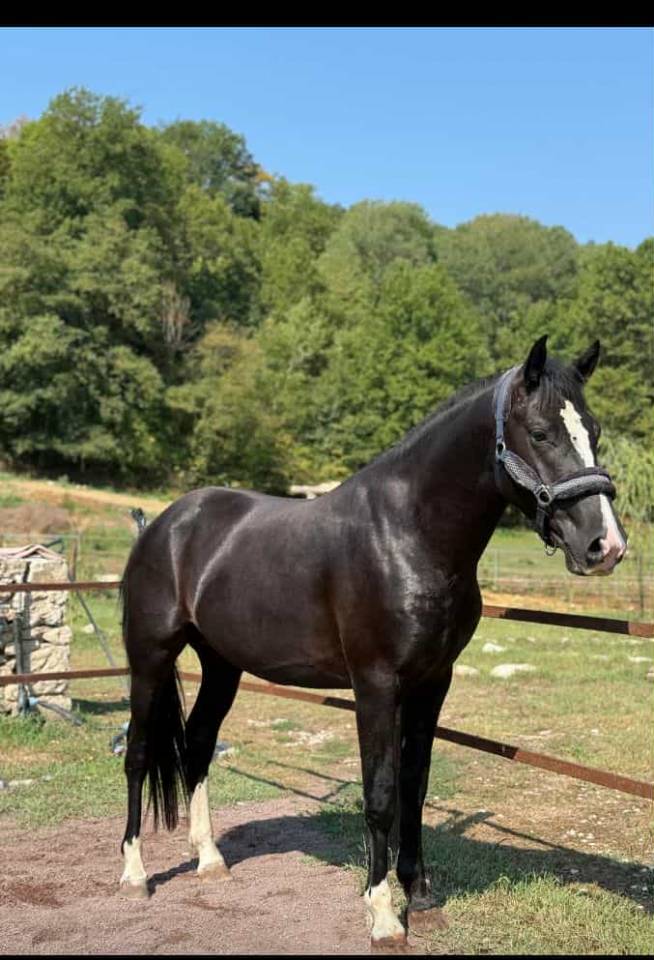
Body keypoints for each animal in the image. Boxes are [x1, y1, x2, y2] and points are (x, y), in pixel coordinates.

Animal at [118, 335, 626, 949]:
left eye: (593, 431)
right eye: (542, 432)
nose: (605, 545)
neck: (407, 534)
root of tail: (163, 523)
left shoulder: (432, 683)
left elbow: (415, 783)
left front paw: (422, 896)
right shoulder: (376, 686)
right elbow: (381, 793)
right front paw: (384, 914)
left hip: (221, 665)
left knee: (195, 745)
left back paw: (210, 860)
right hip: (149, 657)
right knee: (139, 753)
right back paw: (134, 875)